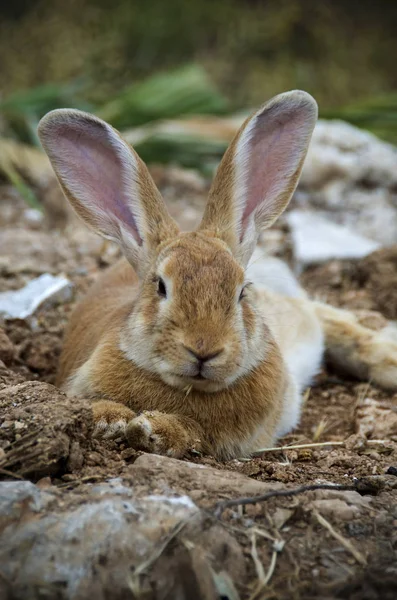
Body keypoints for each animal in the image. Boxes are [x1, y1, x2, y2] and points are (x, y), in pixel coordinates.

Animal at [38, 91, 396, 460]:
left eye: (242, 292)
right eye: (161, 287)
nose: (204, 349)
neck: (187, 387)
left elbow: (195, 434)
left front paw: (154, 430)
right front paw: (110, 420)